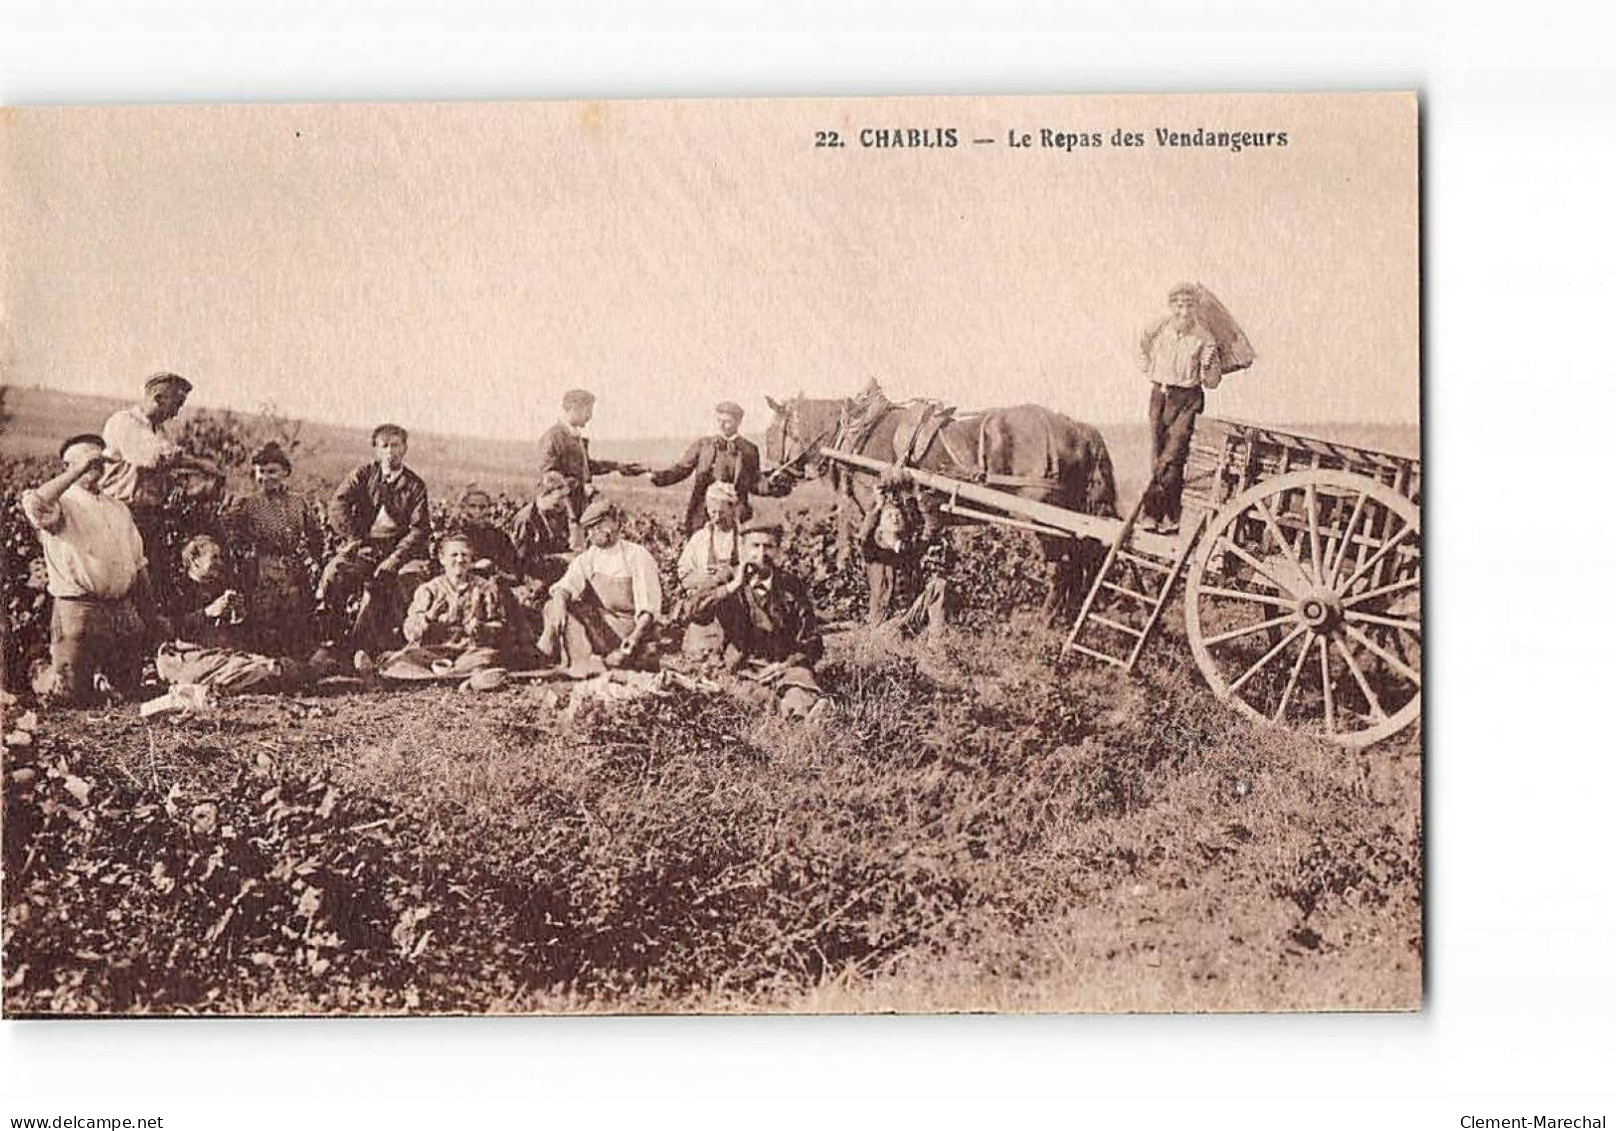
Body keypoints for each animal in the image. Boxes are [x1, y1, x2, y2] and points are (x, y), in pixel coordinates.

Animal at [762, 384, 1118, 623]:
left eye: (770, 435)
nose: (771, 479)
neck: (857, 434)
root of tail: (1078, 428)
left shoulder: (876, 519)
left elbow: (880, 575)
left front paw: (876, 621)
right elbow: (909, 570)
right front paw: (908, 614)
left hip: (1043, 519)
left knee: (1062, 569)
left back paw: (1045, 621)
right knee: (1079, 564)